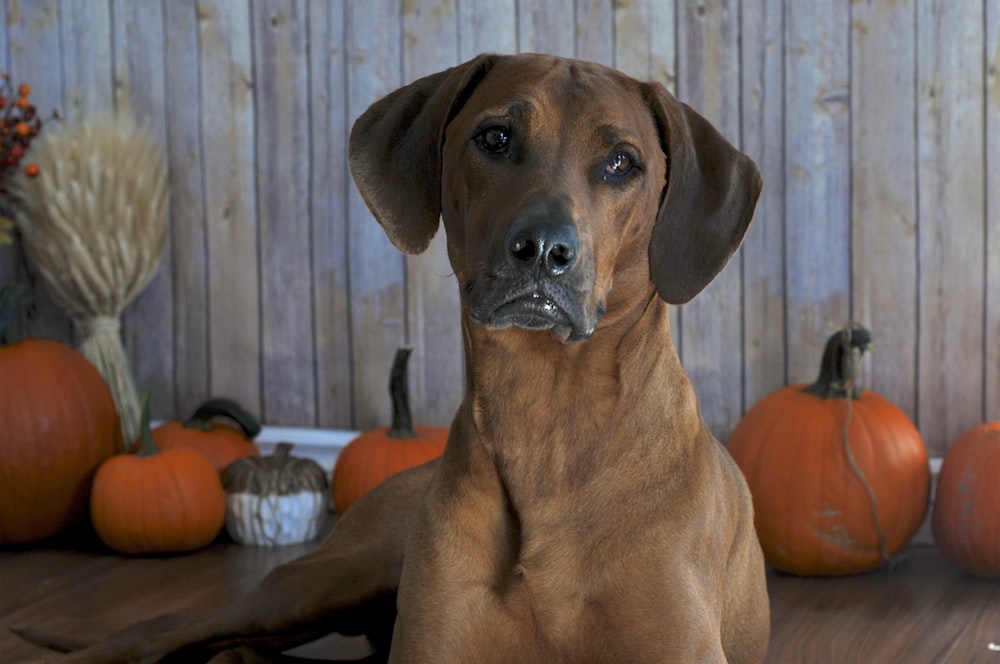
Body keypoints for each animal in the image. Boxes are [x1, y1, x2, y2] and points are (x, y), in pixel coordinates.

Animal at [17, 53, 764, 664]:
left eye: (621, 163)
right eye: (496, 138)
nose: (545, 250)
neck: (546, 421)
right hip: (318, 581)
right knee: (165, 629)